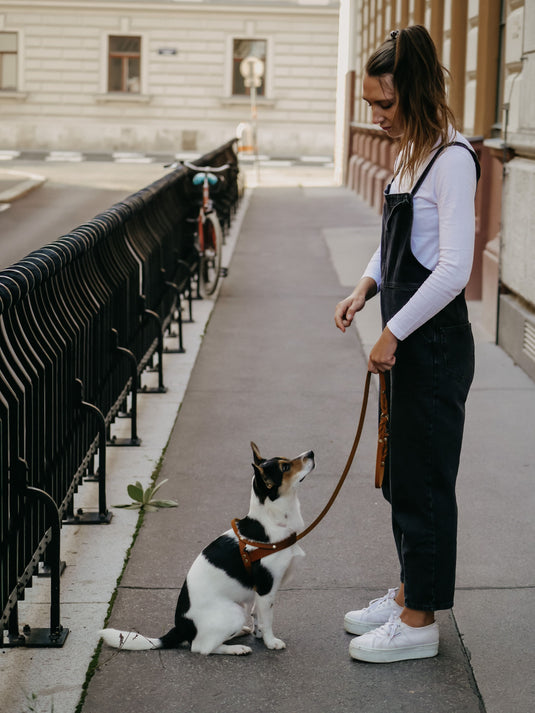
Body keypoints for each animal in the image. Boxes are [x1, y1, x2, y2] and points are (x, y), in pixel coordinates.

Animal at [100, 442, 314, 652]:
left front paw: (259, 635)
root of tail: (180, 629)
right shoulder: (265, 589)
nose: (311, 452)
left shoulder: (260, 594)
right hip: (235, 612)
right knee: (201, 647)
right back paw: (235, 649)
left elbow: (258, 615)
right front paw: (271, 642)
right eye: (285, 467)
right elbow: (267, 620)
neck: (269, 522)